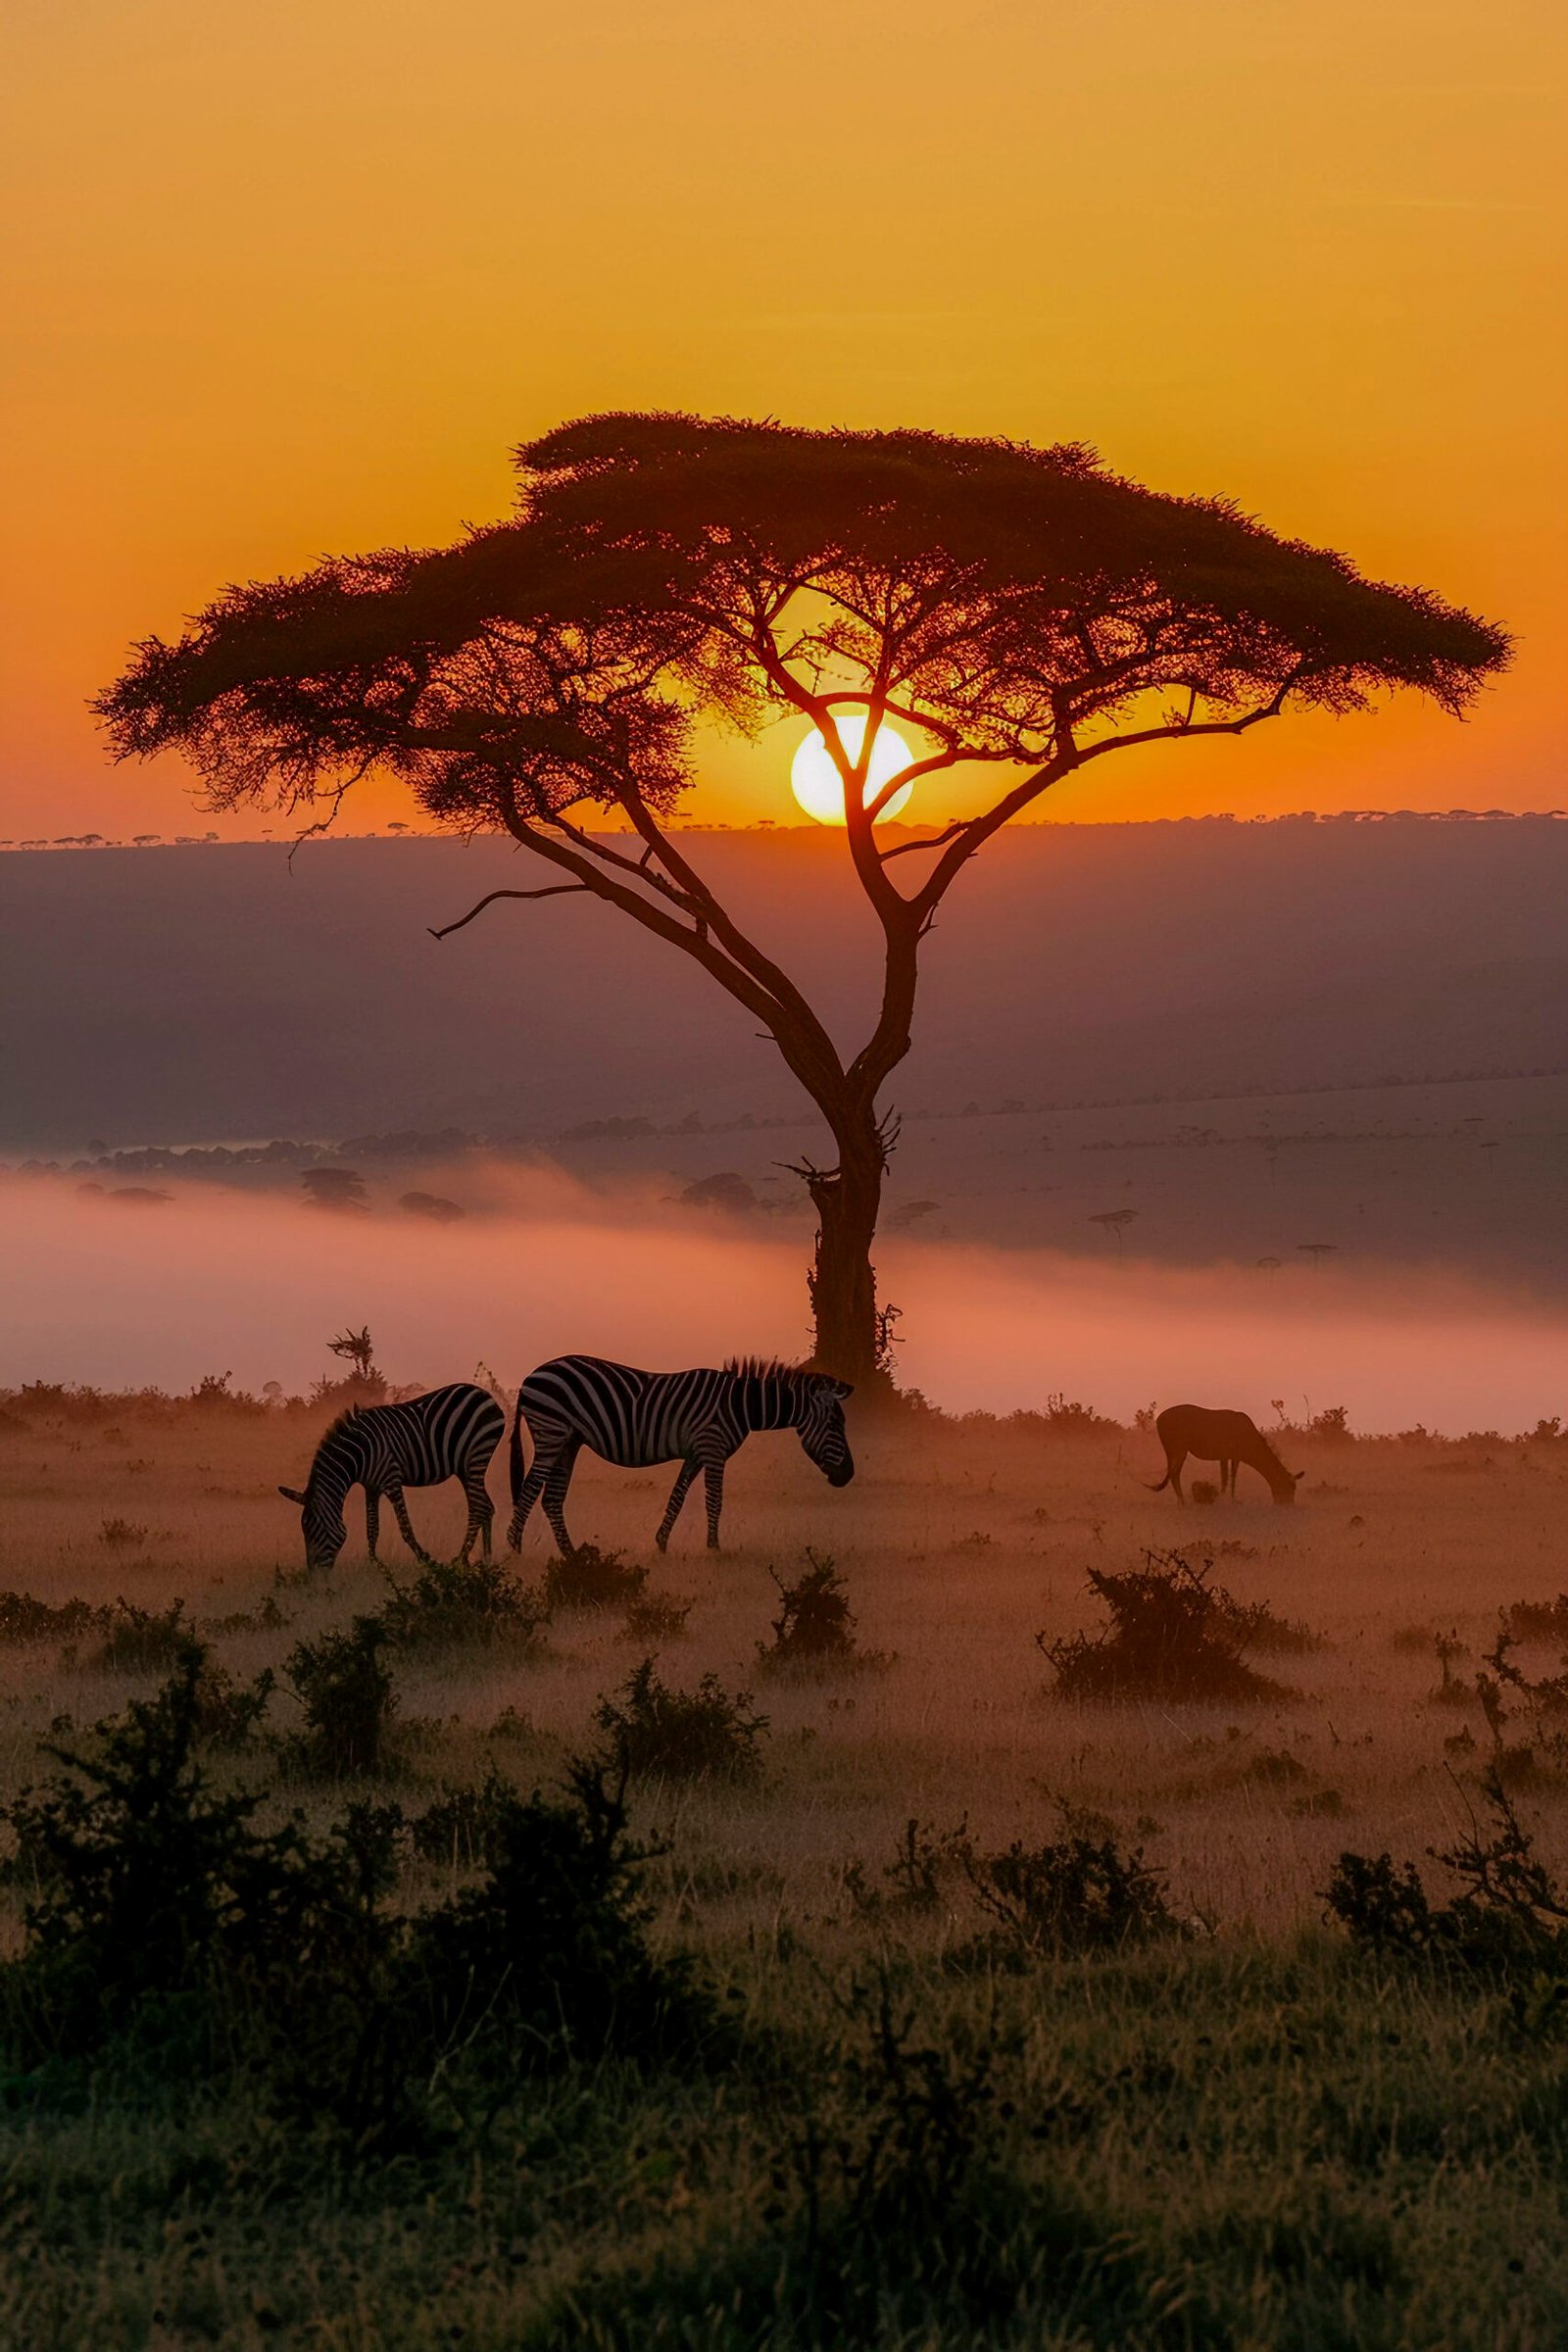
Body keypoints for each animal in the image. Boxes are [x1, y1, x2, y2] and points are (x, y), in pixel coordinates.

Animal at [277, 1382, 506, 1570]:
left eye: (312, 1530)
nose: (313, 1574)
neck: (359, 1454)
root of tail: (486, 1395)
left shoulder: (391, 1480)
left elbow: (405, 1527)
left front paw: (425, 1559)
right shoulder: (371, 1486)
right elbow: (371, 1528)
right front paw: (374, 1564)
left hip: (476, 1456)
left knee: (478, 1508)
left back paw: (461, 1558)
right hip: (465, 1468)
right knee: (486, 1507)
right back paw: (485, 1559)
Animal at [506, 1355, 854, 1555]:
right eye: (835, 1425)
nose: (848, 1475)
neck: (739, 1405)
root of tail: (530, 1377)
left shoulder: (696, 1452)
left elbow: (678, 1495)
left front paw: (661, 1542)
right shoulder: (714, 1449)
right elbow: (714, 1500)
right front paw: (714, 1549)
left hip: (568, 1441)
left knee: (551, 1498)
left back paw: (572, 1555)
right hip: (551, 1433)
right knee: (529, 1490)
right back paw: (515, 1548)